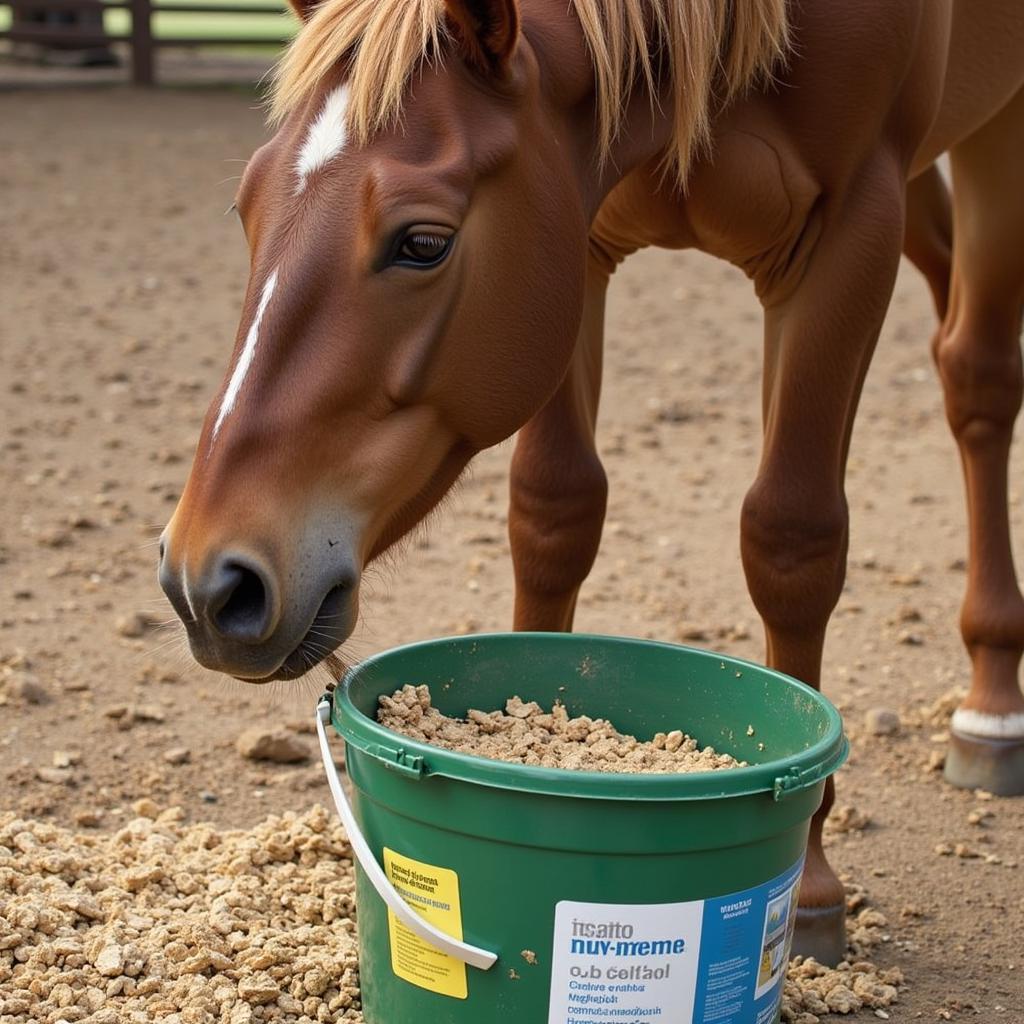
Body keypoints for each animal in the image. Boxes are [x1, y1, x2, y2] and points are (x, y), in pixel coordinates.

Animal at [157, 0, 1024, 962]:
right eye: (246, 210)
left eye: (423, 242)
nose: (208, 583)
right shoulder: (581, 232)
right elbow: (554, 510)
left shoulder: (850, 232)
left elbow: (793, 538)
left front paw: (811, 886)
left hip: (991, 139)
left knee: (979, 372)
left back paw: (995, 706)